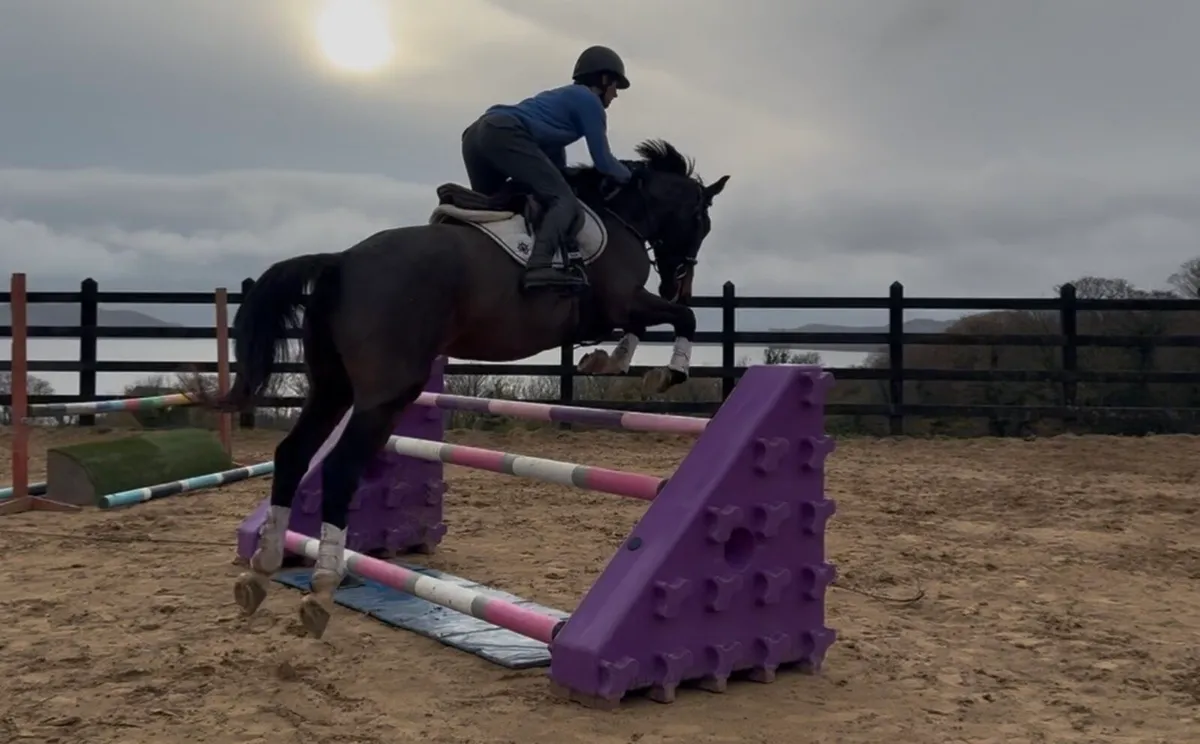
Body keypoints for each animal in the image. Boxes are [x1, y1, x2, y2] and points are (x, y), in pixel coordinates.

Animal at [209, 139, 729, 637]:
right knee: (339, 469)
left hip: (332, 388)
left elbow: (648, 326)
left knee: (293, 455)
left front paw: (606, 359)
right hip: (386, 394)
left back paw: (262, 568)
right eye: (701, 222)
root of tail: (341, 262)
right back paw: (321, 587)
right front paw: (667, 372)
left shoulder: (621, 309)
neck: (621, 214)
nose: (679, 281)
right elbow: (683, 319)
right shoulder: (621, 302)